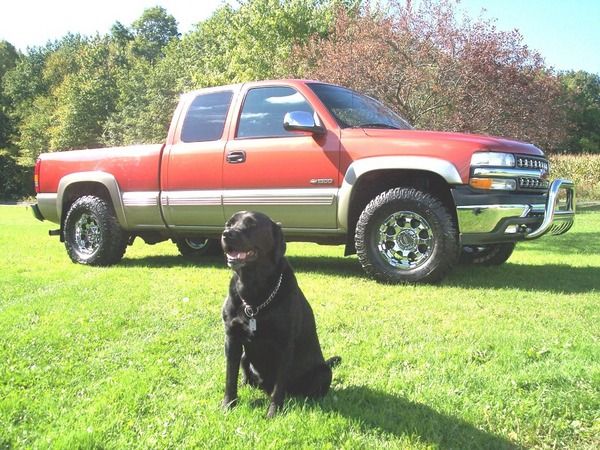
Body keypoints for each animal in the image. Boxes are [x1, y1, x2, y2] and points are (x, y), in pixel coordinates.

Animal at [221, 211, 342, 418]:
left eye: (251, 224)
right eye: (229, 223)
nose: (226, 233)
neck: (254, 297)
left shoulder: (284, 345)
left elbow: (279, 387)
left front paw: (273, 412)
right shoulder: (232, 338)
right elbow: (230, 377)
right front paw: (228, 405)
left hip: (323, 372)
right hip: (245, 356)